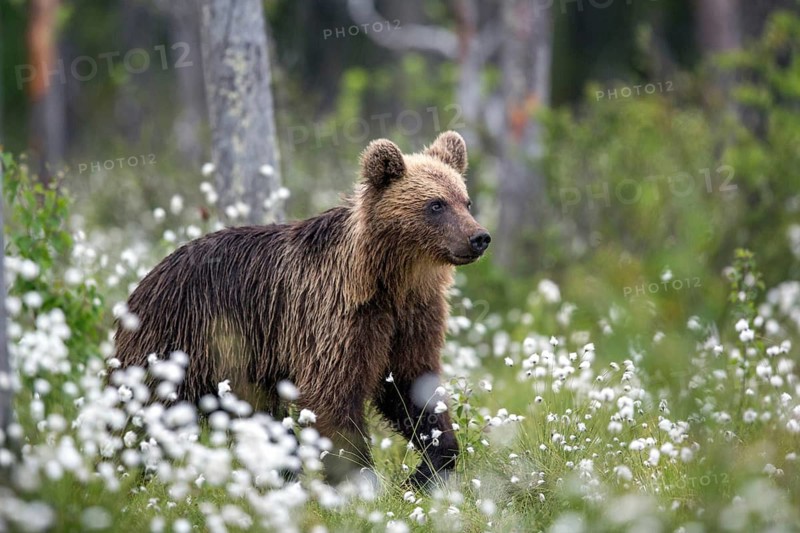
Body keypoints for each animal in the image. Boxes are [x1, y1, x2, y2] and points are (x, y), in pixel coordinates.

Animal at [113, 131, 491, 488]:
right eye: (436, 204)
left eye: (465, 200)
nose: (479, 237)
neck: (391, 281)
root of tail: (144, 280)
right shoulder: (333, 316)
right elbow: (333, 394)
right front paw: (360, 481)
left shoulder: (412, 318)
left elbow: (413, 387)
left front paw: (426, 470)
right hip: (178, 340)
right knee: (146, 408)